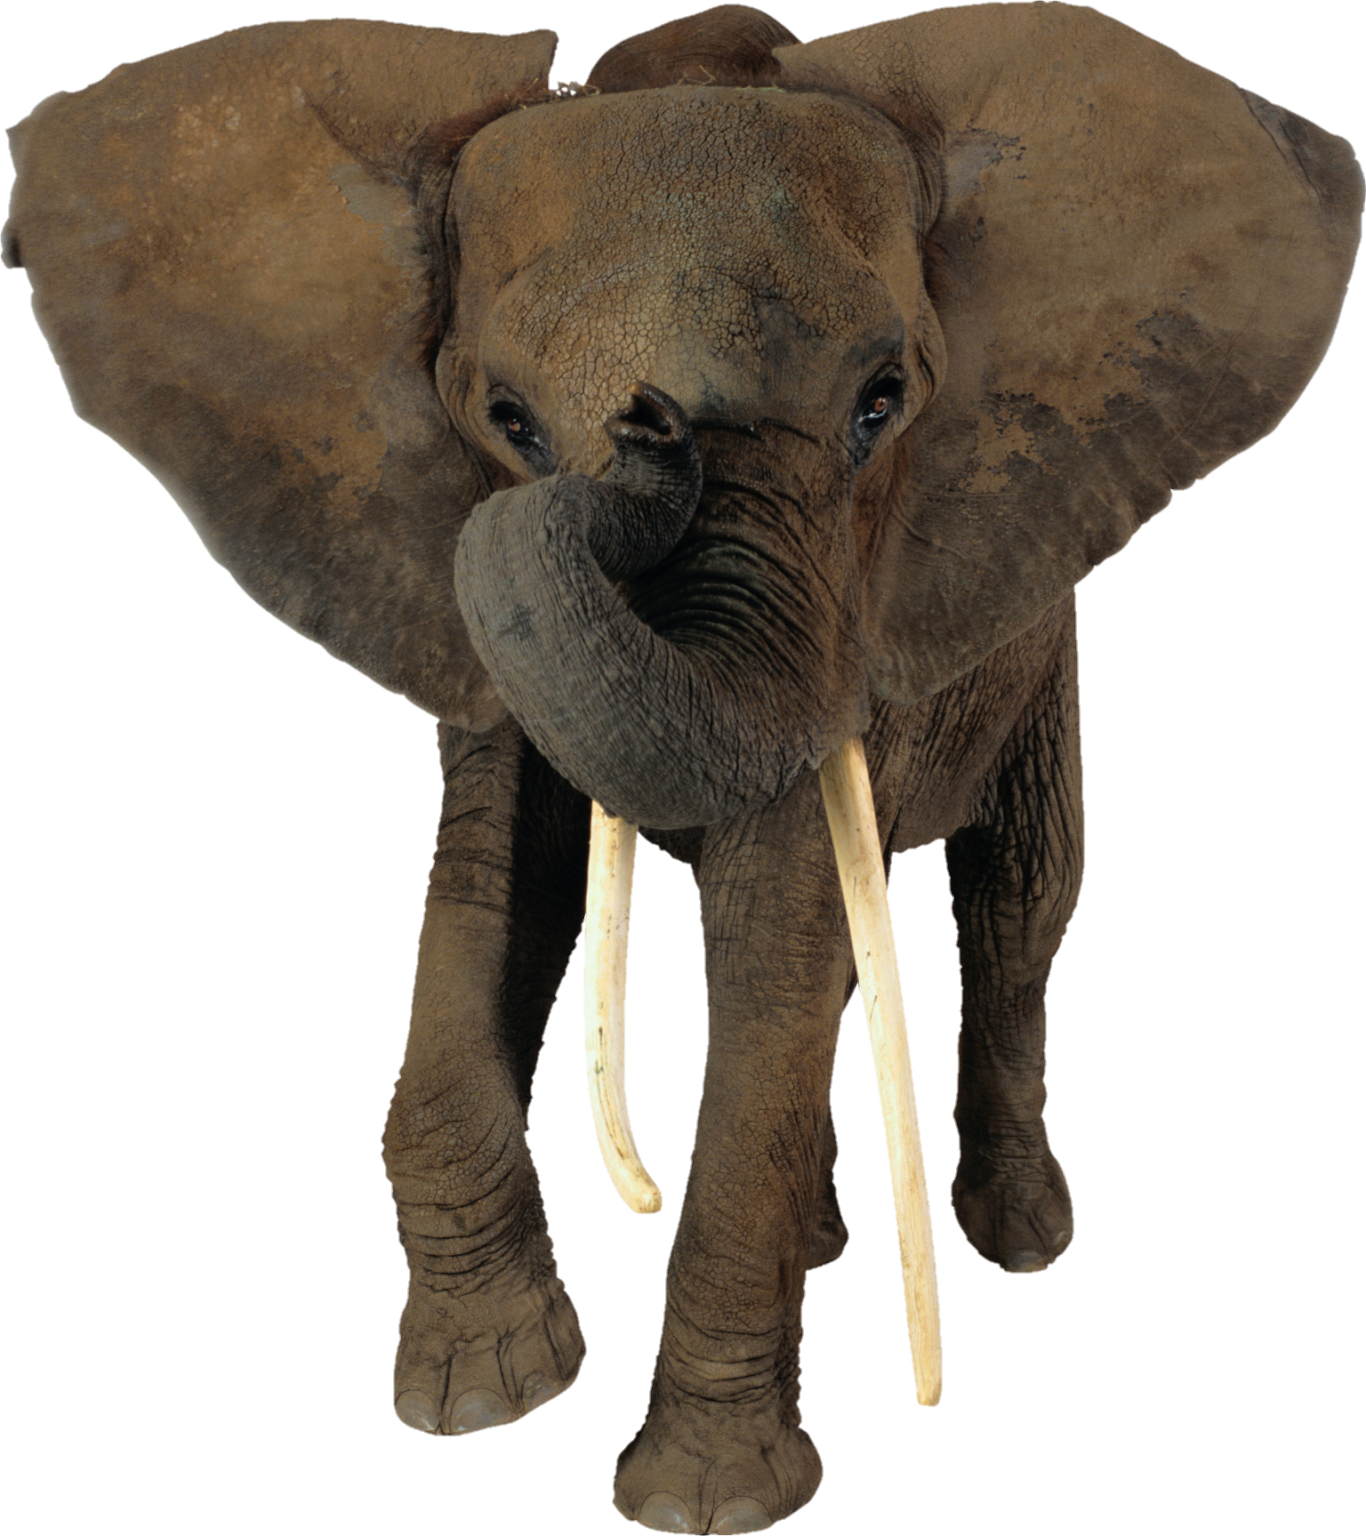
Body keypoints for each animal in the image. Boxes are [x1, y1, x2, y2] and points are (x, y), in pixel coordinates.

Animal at [5, 5, 1358, 1529]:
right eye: (507, 418)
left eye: (882, 402)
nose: (649, 431)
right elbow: (493, 882)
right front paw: (481, 1393)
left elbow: (777, 932)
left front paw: (703, 1506)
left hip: (1038, 642)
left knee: (1021, 900)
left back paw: (1016, 1241)